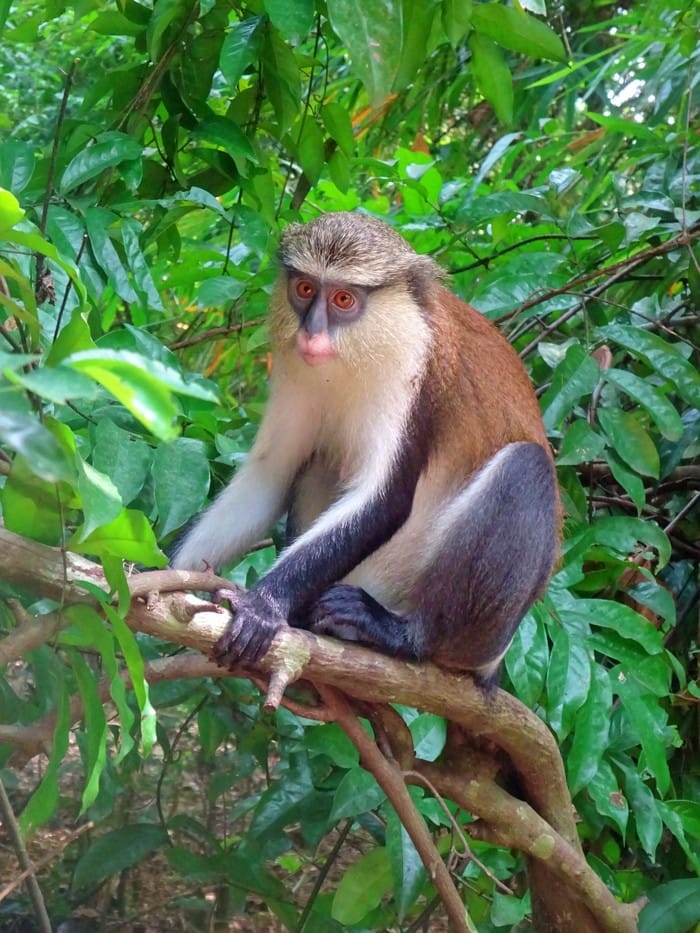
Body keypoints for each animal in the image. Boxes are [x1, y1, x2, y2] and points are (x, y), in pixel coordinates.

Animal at [171, 211, 560, 686]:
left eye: (343, 299)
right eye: (305, 290)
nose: (311, 335)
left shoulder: (415, 373)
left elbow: (384, 500)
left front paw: (263, 607)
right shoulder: (294, 372)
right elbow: (270, 474)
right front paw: (151, 576)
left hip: (467, 630)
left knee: (527, 466)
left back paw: (402, 634)